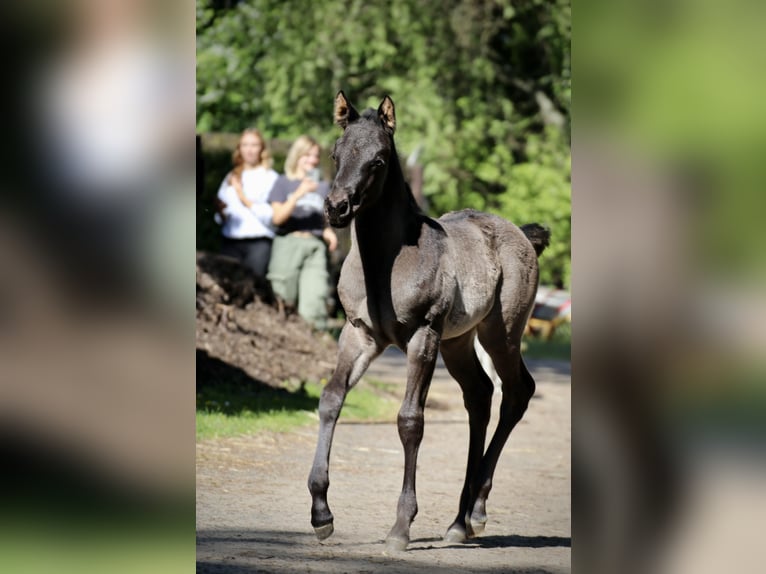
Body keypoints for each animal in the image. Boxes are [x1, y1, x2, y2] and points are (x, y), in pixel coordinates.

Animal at [308, 91, 552, 552]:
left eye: (379, 160)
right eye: (335, 153)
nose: (337, 208)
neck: (385, 265)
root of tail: (520, 233)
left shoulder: (423, 336)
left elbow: (410, 421)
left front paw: (401, 527)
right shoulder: (359, 334)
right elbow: (331, 399)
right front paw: (321, 514)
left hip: (500, 333)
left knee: (517, 392)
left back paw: (476, 512)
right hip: (459, 342)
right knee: (480, 396)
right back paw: (459, 521)